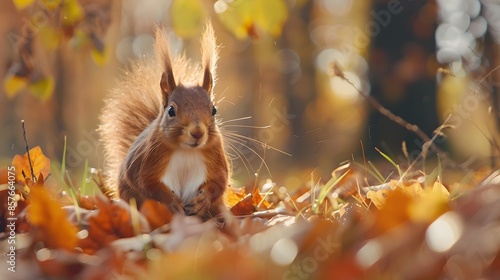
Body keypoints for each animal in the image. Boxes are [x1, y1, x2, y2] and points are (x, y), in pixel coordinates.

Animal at [99, 23, 230, 222]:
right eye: (171, 111)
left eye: (214, 110)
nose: (198, 133)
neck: (186, 151)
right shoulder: (146, 159)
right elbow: (145, 181)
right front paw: (171, 200)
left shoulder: (215, 156)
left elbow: (220, 181)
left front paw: (203, 200)